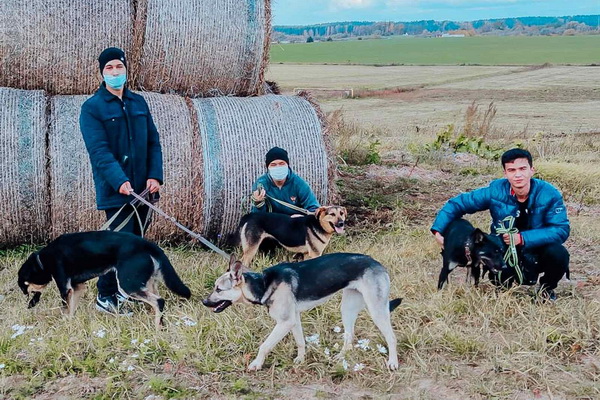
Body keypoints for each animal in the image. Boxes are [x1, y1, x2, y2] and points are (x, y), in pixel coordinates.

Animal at [17, 231, 190, 328]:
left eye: (26, 286)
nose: (28, 304)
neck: (42, 260)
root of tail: (148, 244)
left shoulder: (65, 288)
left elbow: (65, 309)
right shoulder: (77, 287)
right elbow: (71, 310)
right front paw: (70, 324)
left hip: (128, 284)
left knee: (159, 301)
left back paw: (157, 327)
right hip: (145, 282)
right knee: (154, 303)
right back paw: (157, 322)